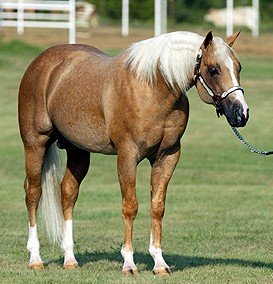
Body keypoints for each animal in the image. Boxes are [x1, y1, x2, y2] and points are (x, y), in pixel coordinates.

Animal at [18, 31, 249, 276]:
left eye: (238, 67)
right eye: (213, 69)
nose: (241, 113)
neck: (152, 89)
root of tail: (43, 62)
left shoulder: (167, 156)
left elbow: (157, 206)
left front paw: (159, 263)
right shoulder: (127, 156)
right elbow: (130, 206)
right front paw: (129, 263)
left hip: (78, 150)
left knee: (68, 193)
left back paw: (70, 258)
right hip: (35, 144)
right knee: (33, 193)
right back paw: (35, 258)